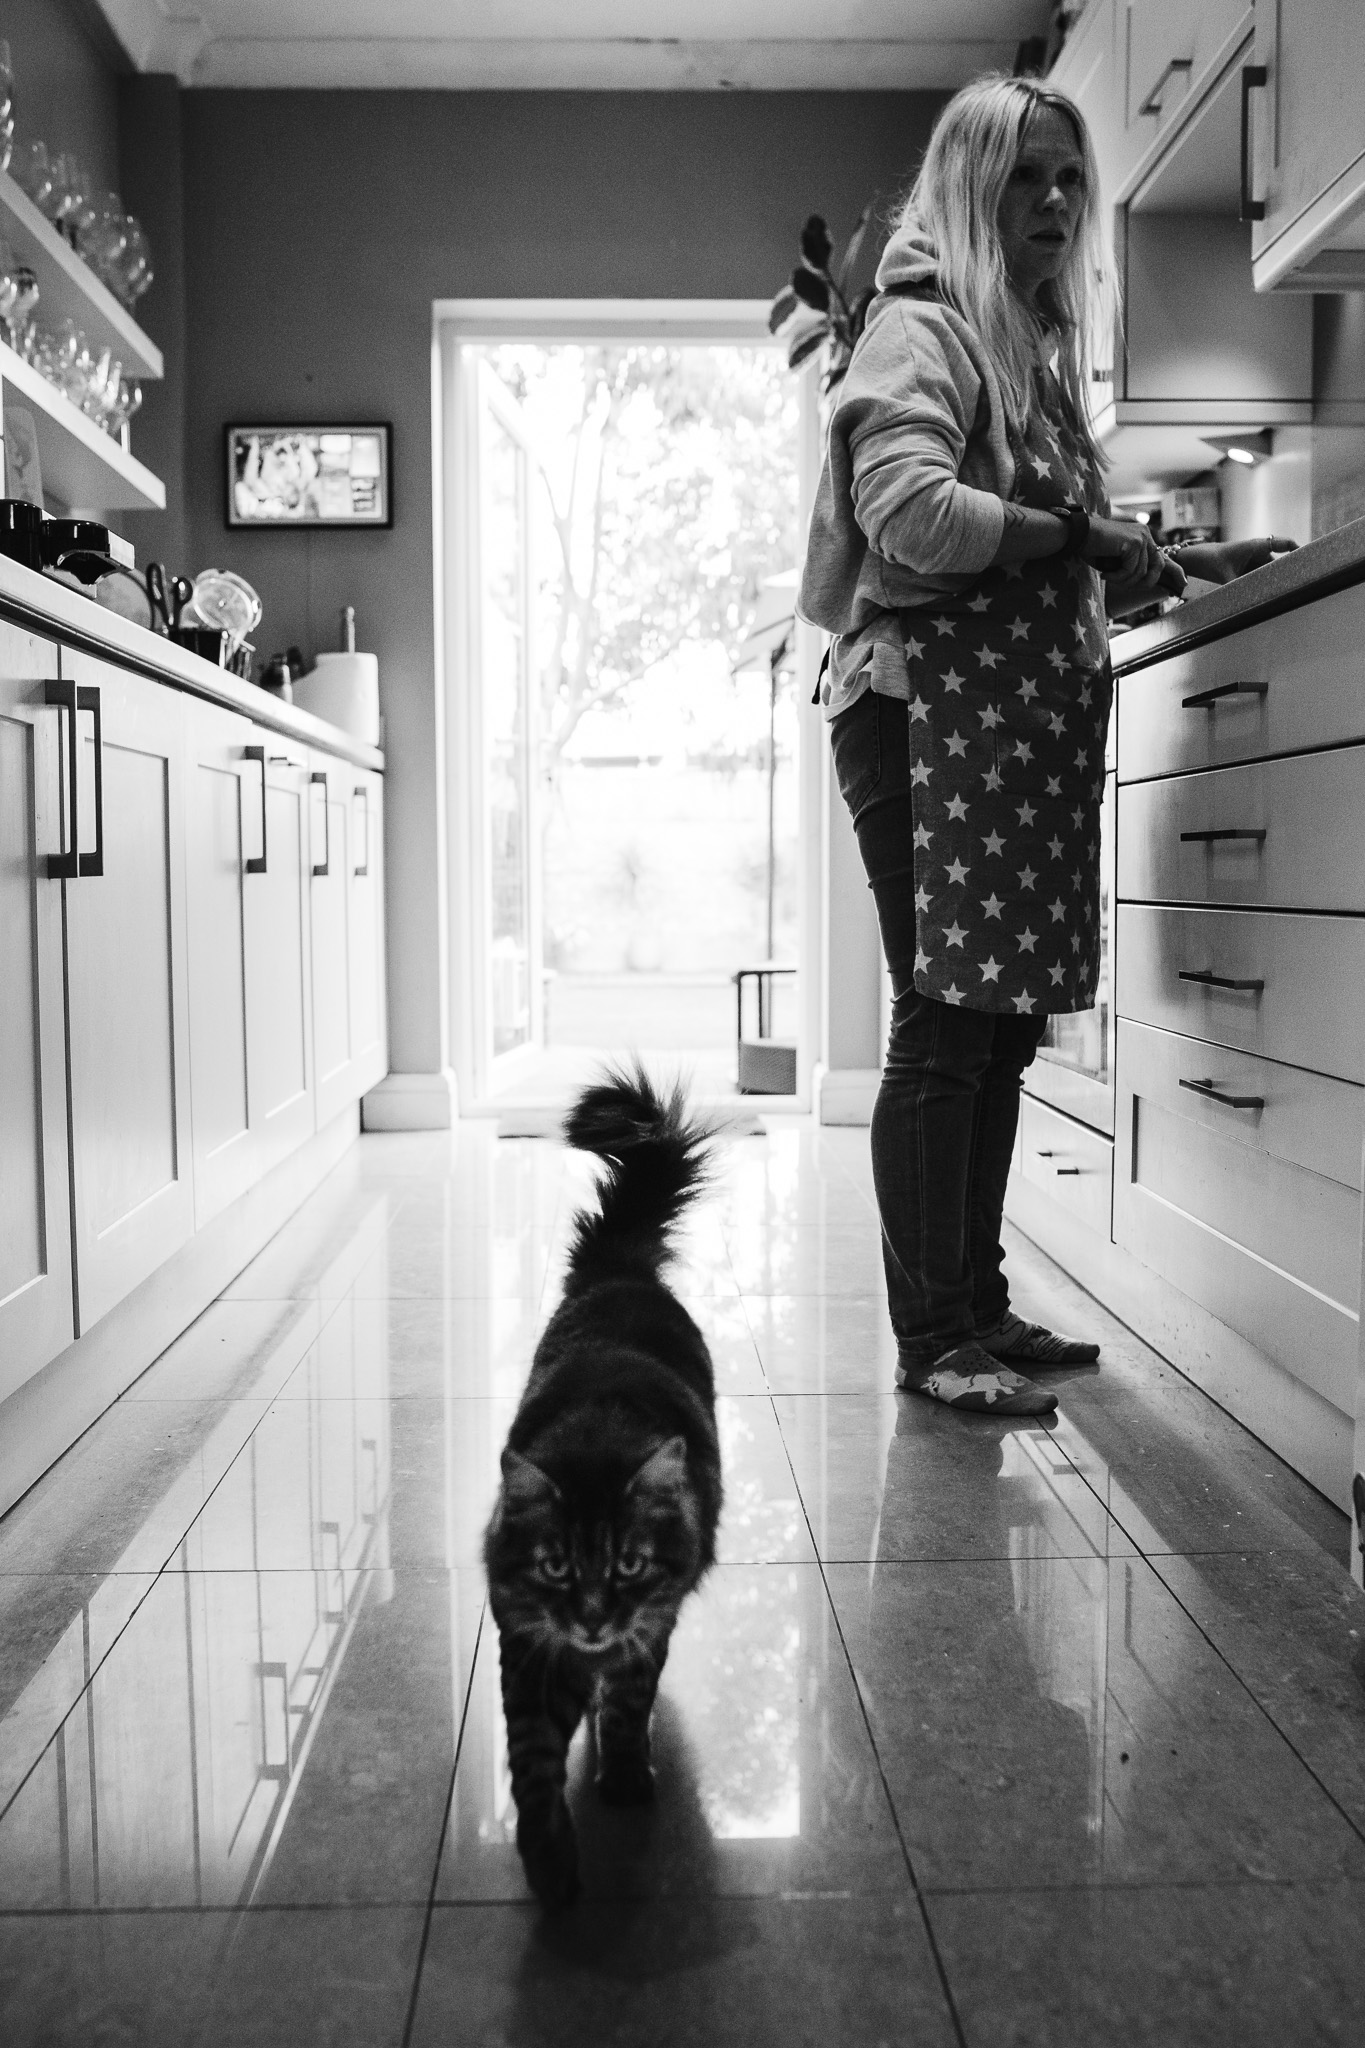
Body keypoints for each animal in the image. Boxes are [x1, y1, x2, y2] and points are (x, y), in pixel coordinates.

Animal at [489, 1064, 732, 1908]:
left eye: (628, 1564)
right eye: (556, 1566)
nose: (593, 1620)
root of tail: (621, 1272)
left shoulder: (645, 1627)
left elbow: (627, 1707)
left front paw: (624, 1778)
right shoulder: (530, 1645)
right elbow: (531, 1760)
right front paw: (549, 1864)